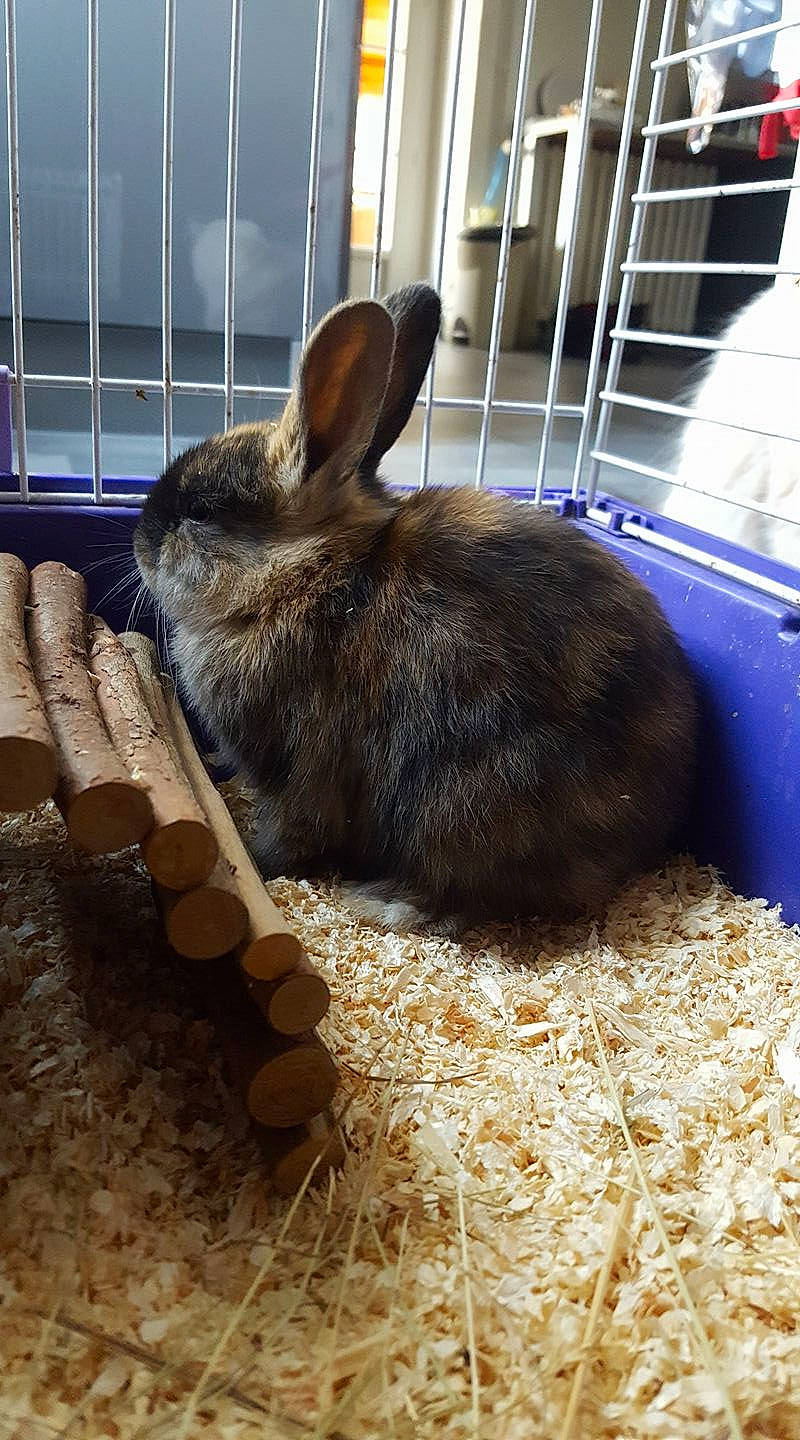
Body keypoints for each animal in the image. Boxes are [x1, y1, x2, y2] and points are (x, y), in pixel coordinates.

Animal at [134, 282, 697, 929]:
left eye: (199, 511)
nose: (138, 539)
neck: (304, 574)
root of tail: (637, 848)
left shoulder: (294, 770)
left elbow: (292, 833)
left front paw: (252, 857)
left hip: (465, 804)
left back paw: (383, 901)